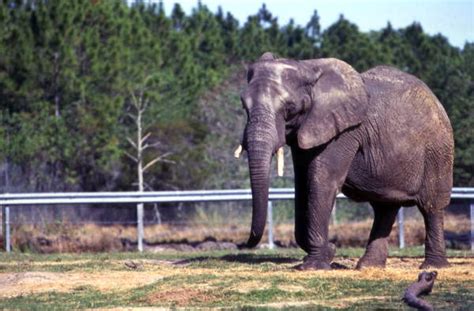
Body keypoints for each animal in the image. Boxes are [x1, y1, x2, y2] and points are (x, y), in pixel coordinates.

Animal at [239, 51, 454, 270]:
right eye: (244, 106)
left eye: (289, 108)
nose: (243, 243)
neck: (307, 67)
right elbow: (302, 185)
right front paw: (326, 253)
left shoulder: (345, 131)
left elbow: (322, 181)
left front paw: (314, 265)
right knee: (384, 208)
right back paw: (368, 266)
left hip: (438, 151)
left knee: (431, 206)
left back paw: (433, 266)